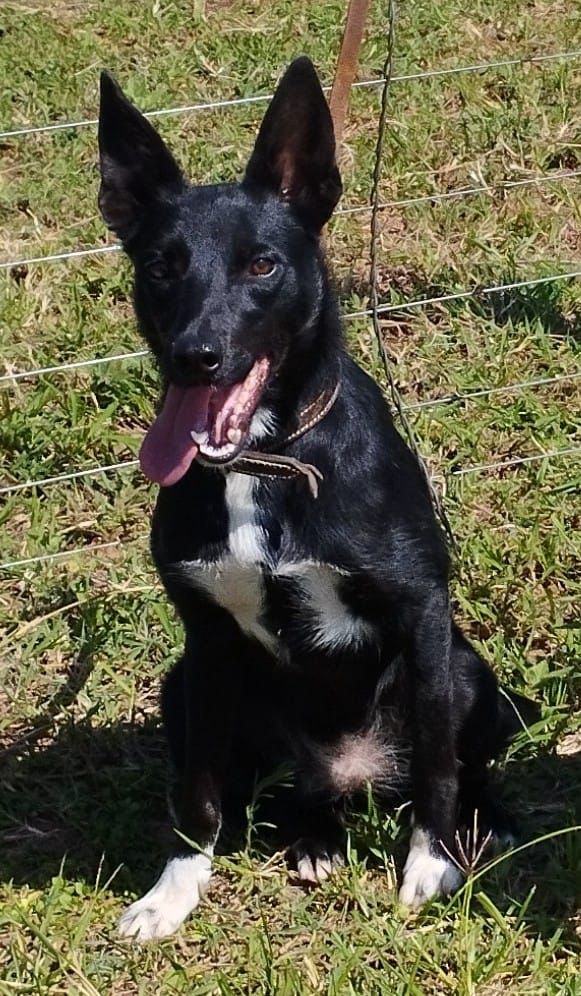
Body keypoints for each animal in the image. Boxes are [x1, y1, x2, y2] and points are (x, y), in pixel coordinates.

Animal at [97, 57, 533, 941]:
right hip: (180, 688)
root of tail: (356, 777)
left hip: (469, 670)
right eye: (160, 266)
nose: (197, 356)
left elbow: (438, 763)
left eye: (262, 265)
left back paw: (488, 821)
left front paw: (431, 865)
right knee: (289, 793)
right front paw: (174, 891)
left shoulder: (423, 612)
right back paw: (313, 838)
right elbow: (198, 795)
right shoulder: (204, 642)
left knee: (457, 759)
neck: (264, 463)